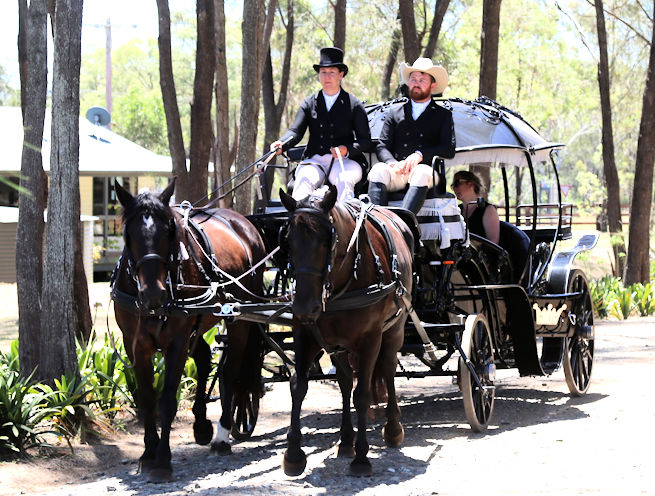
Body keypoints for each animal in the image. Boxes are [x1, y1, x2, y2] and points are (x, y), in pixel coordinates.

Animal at [114, 180, 268, 482]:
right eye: (130, 234)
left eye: (168, 231)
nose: (153, 295)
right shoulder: (135, 344)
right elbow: (147, 398)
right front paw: (148, 453)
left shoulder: (176, 341)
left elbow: (167, 400)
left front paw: (163, 460)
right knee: (205, 357)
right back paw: (201, 425)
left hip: (239, 320)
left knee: (231, 371)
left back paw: (221, 435)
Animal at [278, 184, 412, 474]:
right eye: (288, 242)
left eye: (326, 241)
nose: (304, 307)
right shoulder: (305, 335)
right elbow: (298, 387)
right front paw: (293, 454)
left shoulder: (371, 338)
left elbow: (362, 394)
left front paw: (362, 457)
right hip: (338, 346)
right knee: (345, 381)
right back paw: (346, 439)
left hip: (394, 330)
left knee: (387, 368)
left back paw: (392, 428)